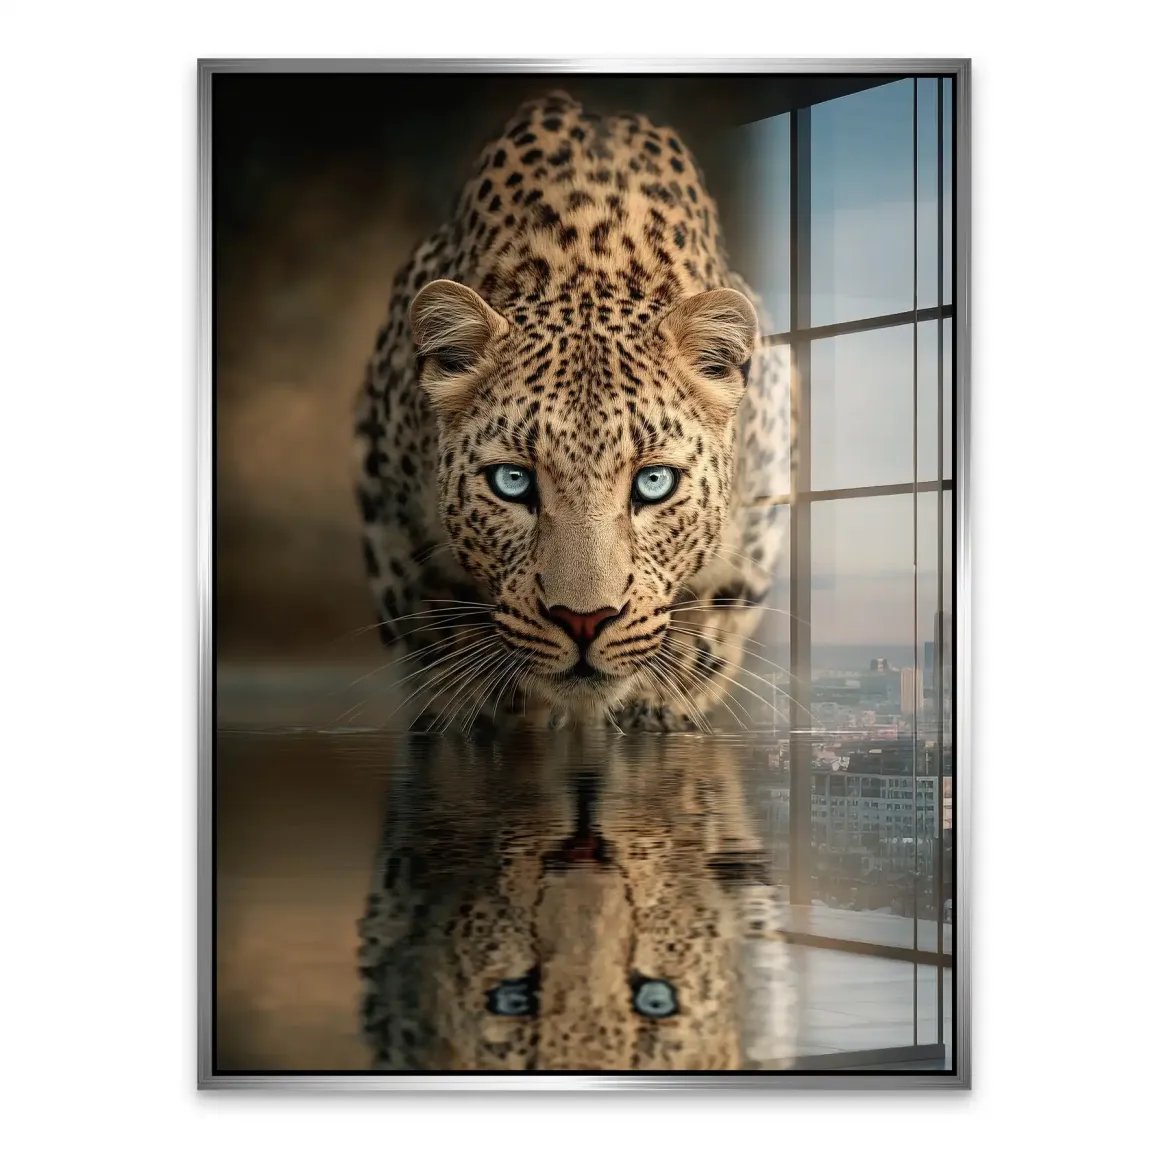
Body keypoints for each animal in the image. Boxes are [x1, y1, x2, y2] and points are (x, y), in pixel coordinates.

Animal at [354, 89, 790, 733]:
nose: (584, 620)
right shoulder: (388, 515)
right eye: (511, 482)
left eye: (655, 483)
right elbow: (436, 630)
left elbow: (714, 618)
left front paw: (659, 703)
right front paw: (489, 711)